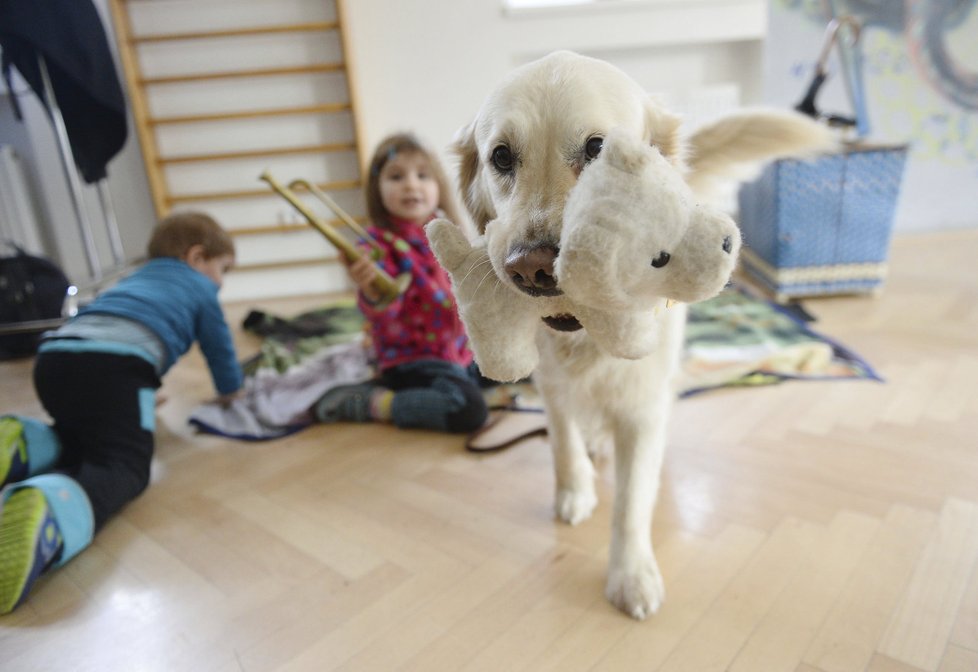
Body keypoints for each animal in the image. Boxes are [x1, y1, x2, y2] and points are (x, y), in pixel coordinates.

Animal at [450, 52, 832, 620]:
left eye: (597, 150)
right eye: (500, 156)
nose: (531, 269)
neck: (585, 337)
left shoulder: (640, 402)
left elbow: (631, 502)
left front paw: (630, 575)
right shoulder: (552, 383)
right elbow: (561, 440)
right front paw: (575, 488)